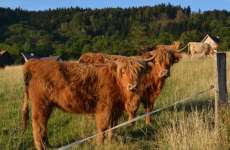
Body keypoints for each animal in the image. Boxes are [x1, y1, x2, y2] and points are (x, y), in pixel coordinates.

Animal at [21, 59, 151, 149]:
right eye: (123, 72)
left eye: (139, 73)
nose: (132, 86)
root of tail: (33, 62)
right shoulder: (104, 108)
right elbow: (102, 128)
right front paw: (100, 144)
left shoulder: (115, 110)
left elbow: (113, 128)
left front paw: (111, 142)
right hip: (40, 105)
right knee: (38, 125)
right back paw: (41, 147)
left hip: (47, 106)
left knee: (43, 125)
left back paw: (48, 145)